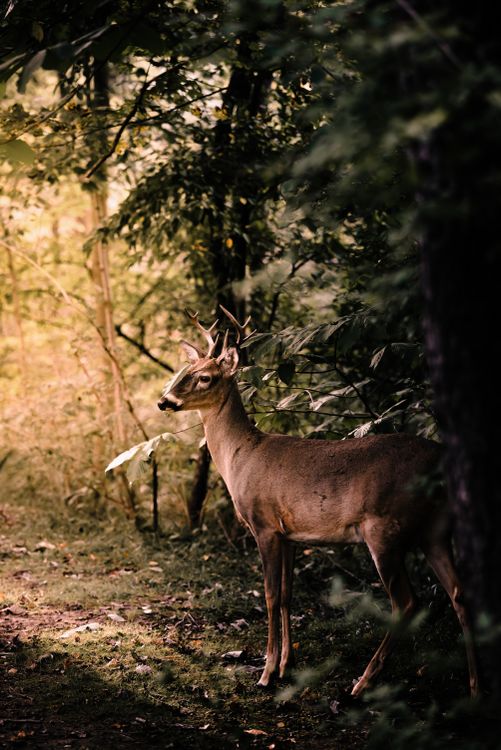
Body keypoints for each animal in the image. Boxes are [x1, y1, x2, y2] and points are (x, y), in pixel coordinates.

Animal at [157, 307, 479, 697]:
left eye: (204, 377)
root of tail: (441, 462)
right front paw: (286, 664)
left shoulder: (264, 524)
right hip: (435, 529)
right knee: (460, 594)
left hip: (384, 527)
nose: (164, 401)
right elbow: (287, 595)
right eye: (181, 372)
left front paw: (266, 672)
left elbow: (269, 595)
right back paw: (475, 686)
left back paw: (363, 681)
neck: (241, 456)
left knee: (407, 602)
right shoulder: (290, 534)